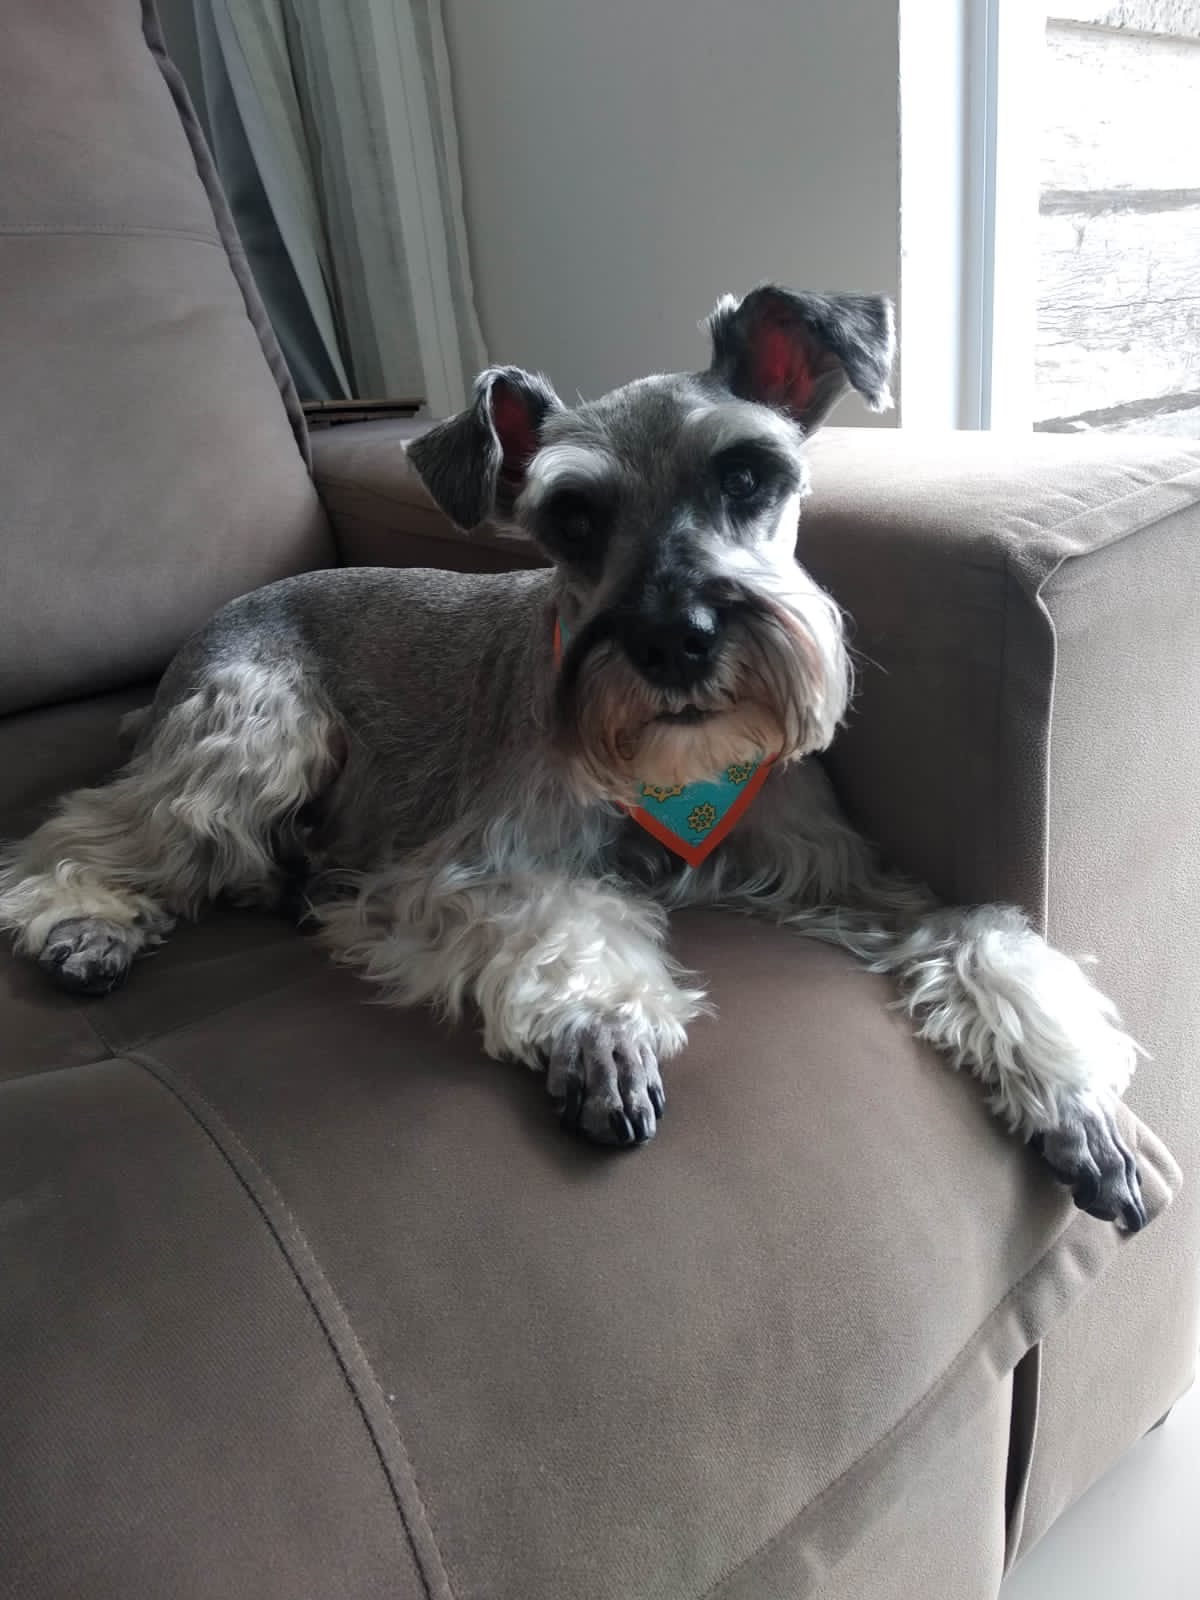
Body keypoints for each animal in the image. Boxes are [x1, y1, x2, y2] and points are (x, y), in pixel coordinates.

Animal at [0, 285, 1146, 1230]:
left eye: (746, 474)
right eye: (572, 516)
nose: (677, 639)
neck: (678, 771)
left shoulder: (843, 875)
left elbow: (975, 927)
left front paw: (1073, 1089)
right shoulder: (467, 867)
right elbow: (568, 917)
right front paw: (604, 1030)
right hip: (255, 732)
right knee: (95, 828)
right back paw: (84, 924)